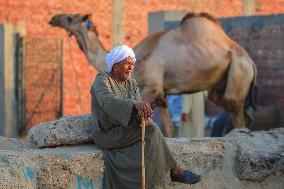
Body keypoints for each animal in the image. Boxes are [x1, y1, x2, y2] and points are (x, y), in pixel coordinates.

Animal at [48, 12, 258, 137]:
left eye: (71, 18)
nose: (54, 18)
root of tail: (251, 62)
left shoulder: (151, 88)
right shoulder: (162, 95)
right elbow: (168, 128)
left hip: (239, 71)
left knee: (236, 111)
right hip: (221, 86)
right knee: (242, 114)